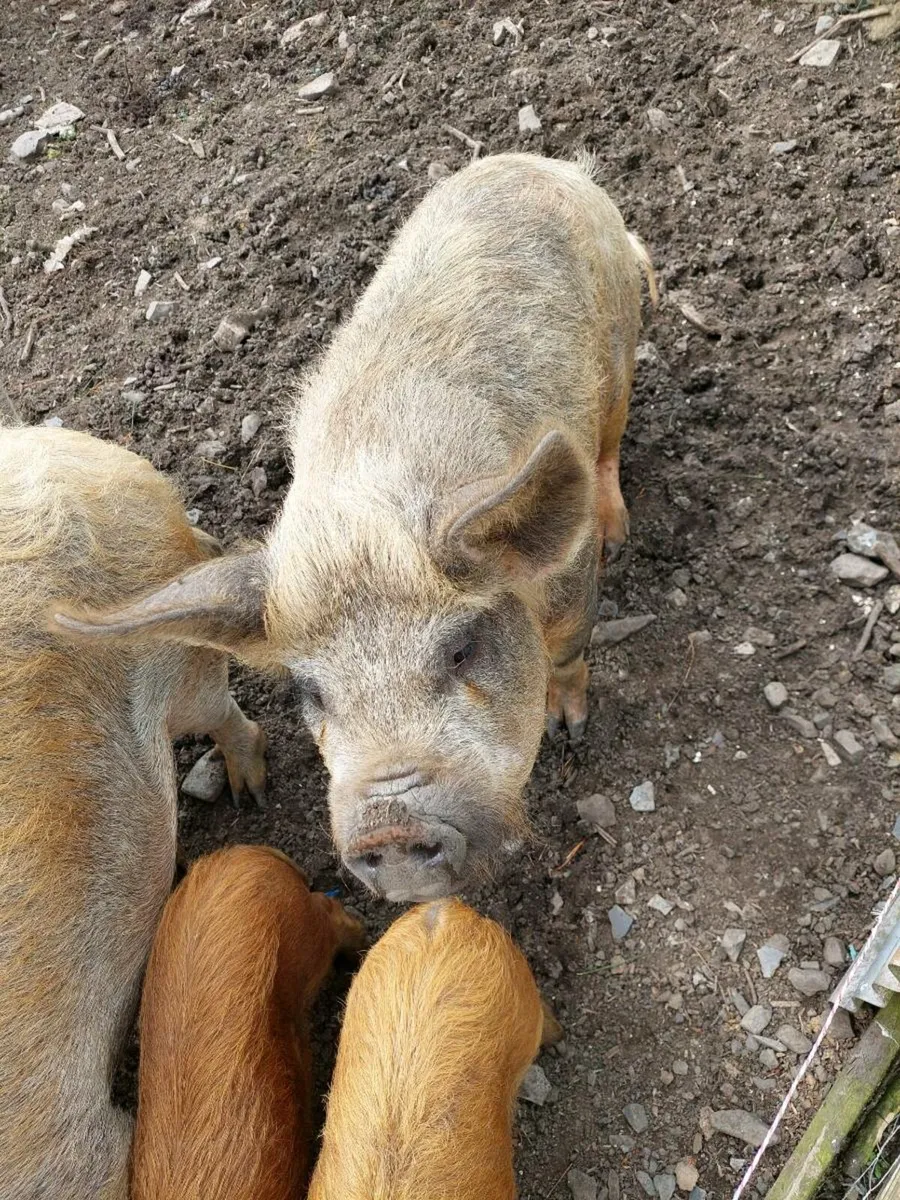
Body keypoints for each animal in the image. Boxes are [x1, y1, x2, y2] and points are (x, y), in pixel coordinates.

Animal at [52, 152, 656, 903]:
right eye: (312, 692)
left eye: (461, 651)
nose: (389, 829)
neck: (364, 515)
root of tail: (547, 165)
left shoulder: (568, 582)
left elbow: (571, 649)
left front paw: (568, 725)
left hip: (621, 342)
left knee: (611, 440)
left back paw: (616, 528)